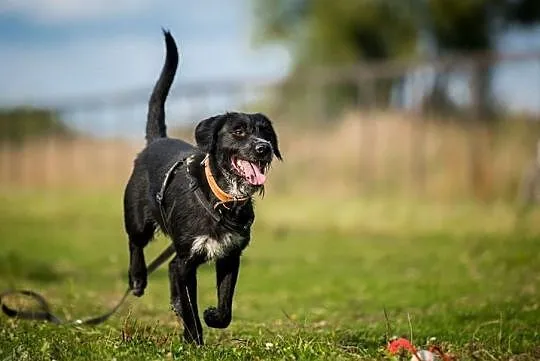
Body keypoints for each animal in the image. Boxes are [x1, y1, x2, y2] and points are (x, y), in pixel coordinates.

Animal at [123, 31, 282, 344]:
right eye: (238, 131)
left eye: (266, 132)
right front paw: (194, 339)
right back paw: (137, 279)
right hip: (137, 220)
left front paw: (211, 317)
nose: (264, 149)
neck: (222, 199)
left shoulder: (230, 256)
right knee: (135, 244)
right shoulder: (185, 261)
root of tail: (156, 141)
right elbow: (190, 306)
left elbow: (225, 307)